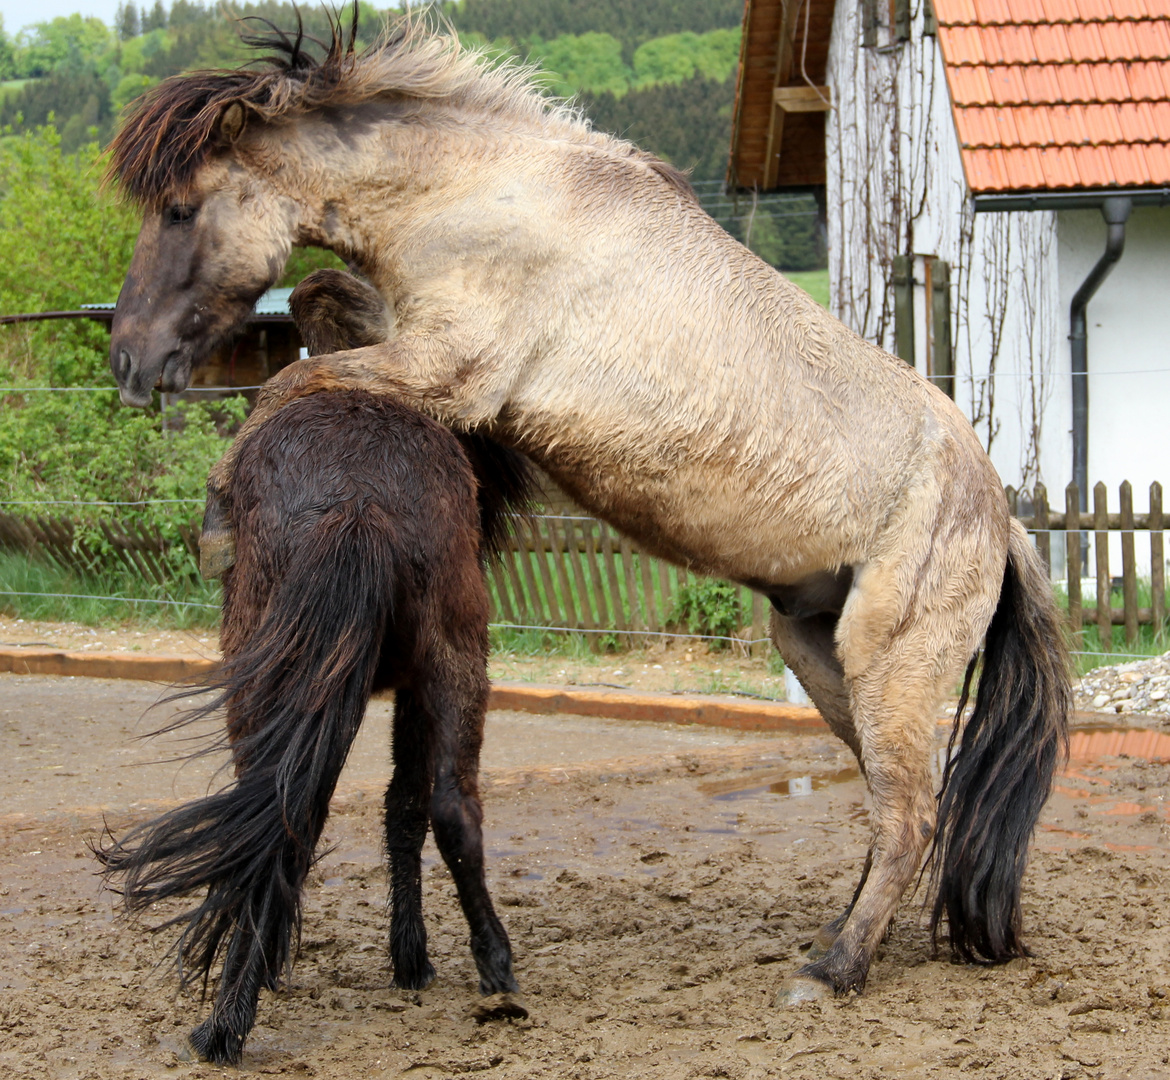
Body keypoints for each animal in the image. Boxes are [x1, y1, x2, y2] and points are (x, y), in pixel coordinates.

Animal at [98, 270, 533, 1062]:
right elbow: (406, 806)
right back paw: (495, 965)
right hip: (452, 664)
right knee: (450, 807)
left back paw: (228, 1018)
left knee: (284, 813)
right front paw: (412, 960)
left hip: (280, 681)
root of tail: (357, 503)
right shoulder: (414, 688)